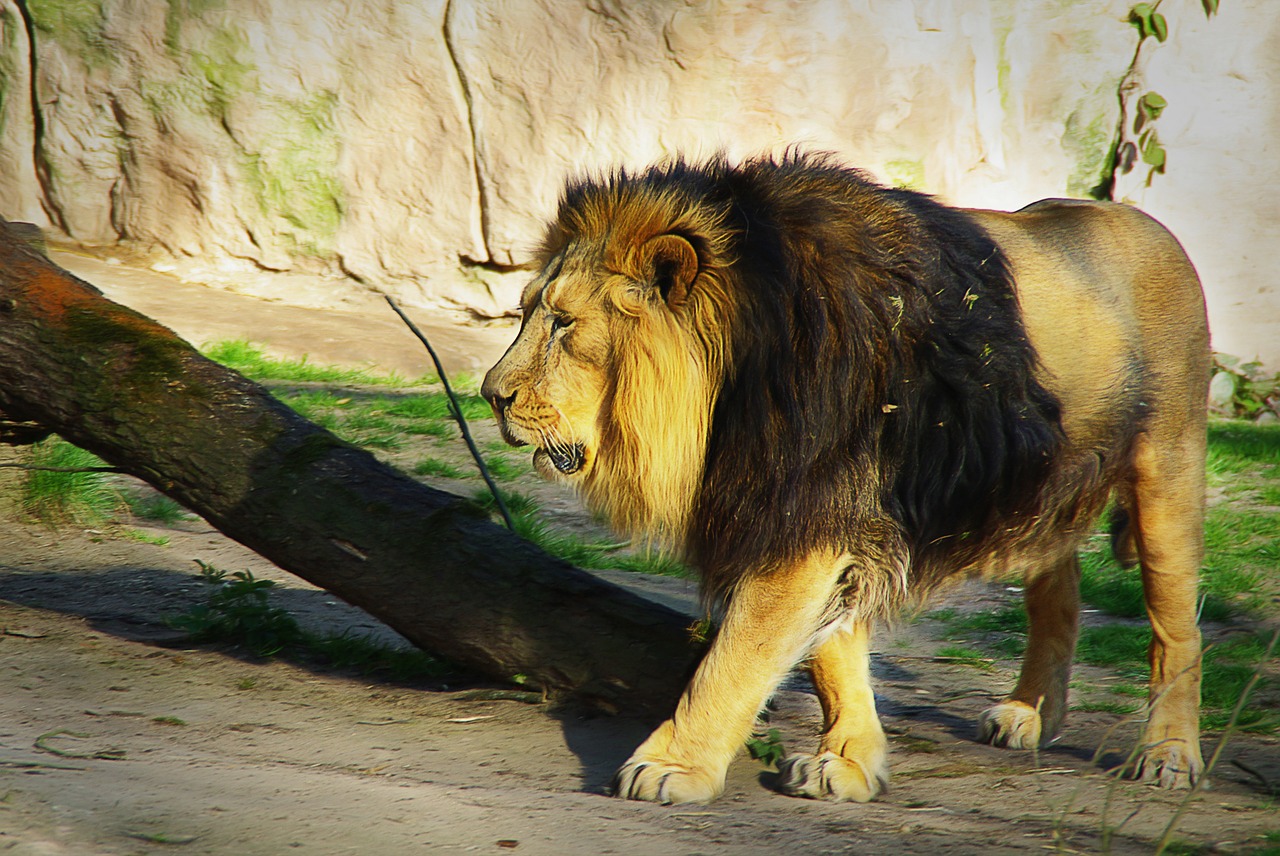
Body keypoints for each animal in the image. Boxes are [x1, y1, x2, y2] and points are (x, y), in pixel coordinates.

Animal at [481, 151, 1208, 803]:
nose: (491, 395)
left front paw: (671, 767)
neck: (734, 379)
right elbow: (831, 655)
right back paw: (1031, 714)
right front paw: (851, 763)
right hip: (1039, 486)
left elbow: (734, 660)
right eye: (526, 312)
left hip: (1169, 467)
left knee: (1177, 627)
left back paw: (1168, 755)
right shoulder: (825, 511)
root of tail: (1146, 222)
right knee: (1058, 594)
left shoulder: (812, 511)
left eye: (564, 324)